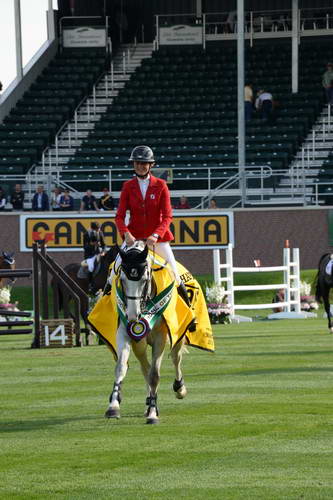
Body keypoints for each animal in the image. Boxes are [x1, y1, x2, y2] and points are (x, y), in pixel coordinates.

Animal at [104, 240, 187, 424]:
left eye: (144, 279)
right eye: (122, 279)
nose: (132, 316)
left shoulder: (161, 338)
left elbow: (155, 375)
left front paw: (153, 413)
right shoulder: (125, 334)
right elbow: (121, 367)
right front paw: (113, 406)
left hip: (177, 336)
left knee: (176, 358)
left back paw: (179, 388)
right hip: (139, 343)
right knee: (145, 367)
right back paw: (149, 399)